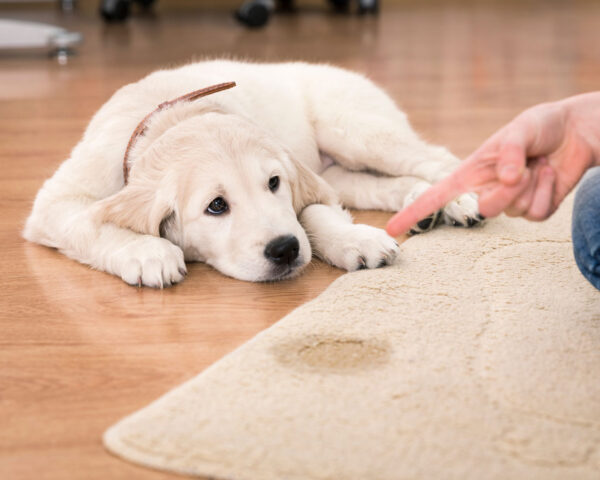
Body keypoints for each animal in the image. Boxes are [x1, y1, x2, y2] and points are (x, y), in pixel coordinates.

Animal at [25, 59, 480, 284]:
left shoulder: (303, 180)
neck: (171, 117)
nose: (285, 250)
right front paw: (147, 252)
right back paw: (421, 205)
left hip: (356, 130)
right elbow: (91, 224)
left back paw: (459, 200)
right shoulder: (55, 203)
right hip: (340, 167)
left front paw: (354, 240)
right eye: (216, 206)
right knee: (379, 183)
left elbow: (313, 214)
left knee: (435, 157)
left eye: (274, 183)